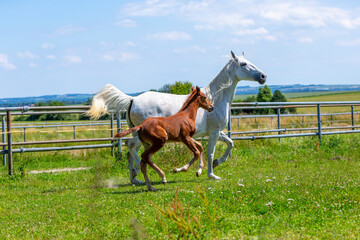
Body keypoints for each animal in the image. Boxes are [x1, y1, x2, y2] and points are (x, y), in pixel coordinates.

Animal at [88, 50, 266, 182]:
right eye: (243, 64)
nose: (263, 76)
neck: (215, 97)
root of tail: (133, 99)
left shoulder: (218, 132)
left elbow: (230, 143)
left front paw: (216, 164)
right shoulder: (214, 132)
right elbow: (210, 152)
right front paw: (212, 175)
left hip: (139, 135)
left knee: (130, 150)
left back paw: (135, 179)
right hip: (143, 137)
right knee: (130, 146)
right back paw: (143, 172)